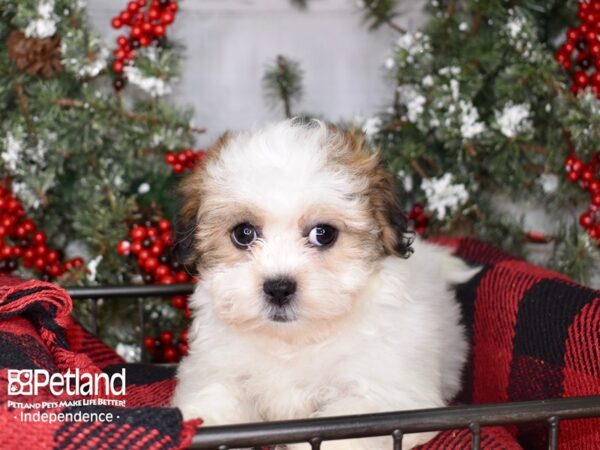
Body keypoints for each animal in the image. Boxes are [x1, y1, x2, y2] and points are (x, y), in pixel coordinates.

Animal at [171, 119, 476, 450]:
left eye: (323, 234)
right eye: (244, 233)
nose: (279, 287)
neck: (293, 340)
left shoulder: (385, 398)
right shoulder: (217, 370)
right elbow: (214, 400)